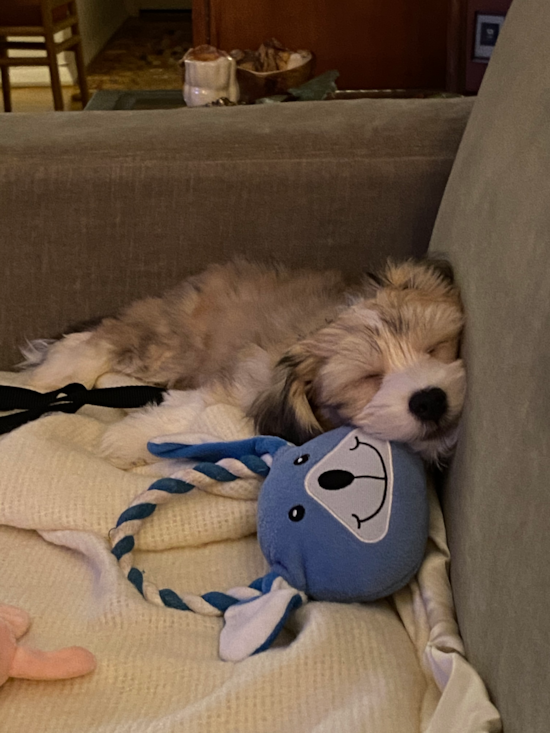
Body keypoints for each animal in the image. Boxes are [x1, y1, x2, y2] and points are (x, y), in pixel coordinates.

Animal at [23, 258, 468, 464]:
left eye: (435, 349)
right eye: (369, 378)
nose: (429, 400)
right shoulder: (249, 377)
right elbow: (195, 409)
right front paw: (126, 439)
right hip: (169, 346)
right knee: (96, 341)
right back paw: (49, 376)